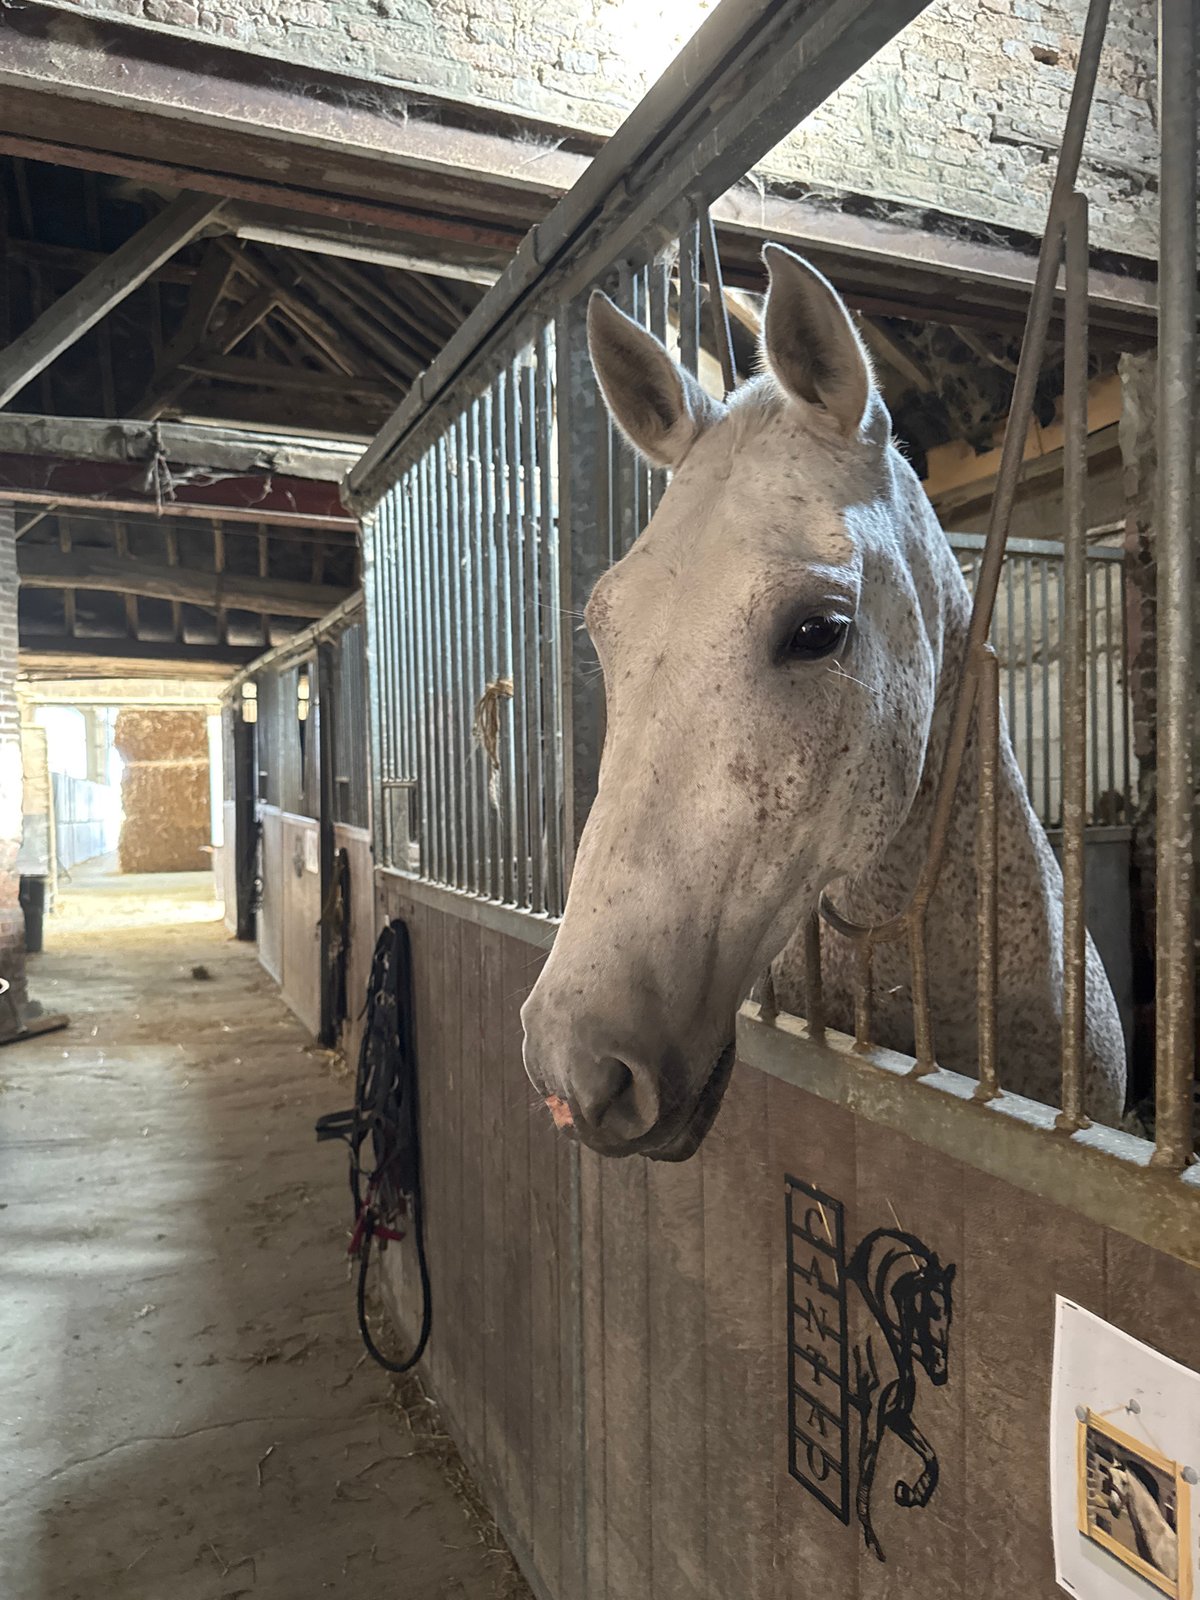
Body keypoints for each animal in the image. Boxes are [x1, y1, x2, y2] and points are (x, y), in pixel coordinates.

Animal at [846, 1229, 954, 1561]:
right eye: (931, 1309)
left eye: (950, 1315)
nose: (940, 1372)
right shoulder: (871, 1415)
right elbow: (866, 1475)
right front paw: (871, 1541)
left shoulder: (894, 1413)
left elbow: (931, 1456)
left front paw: (912, 1492)